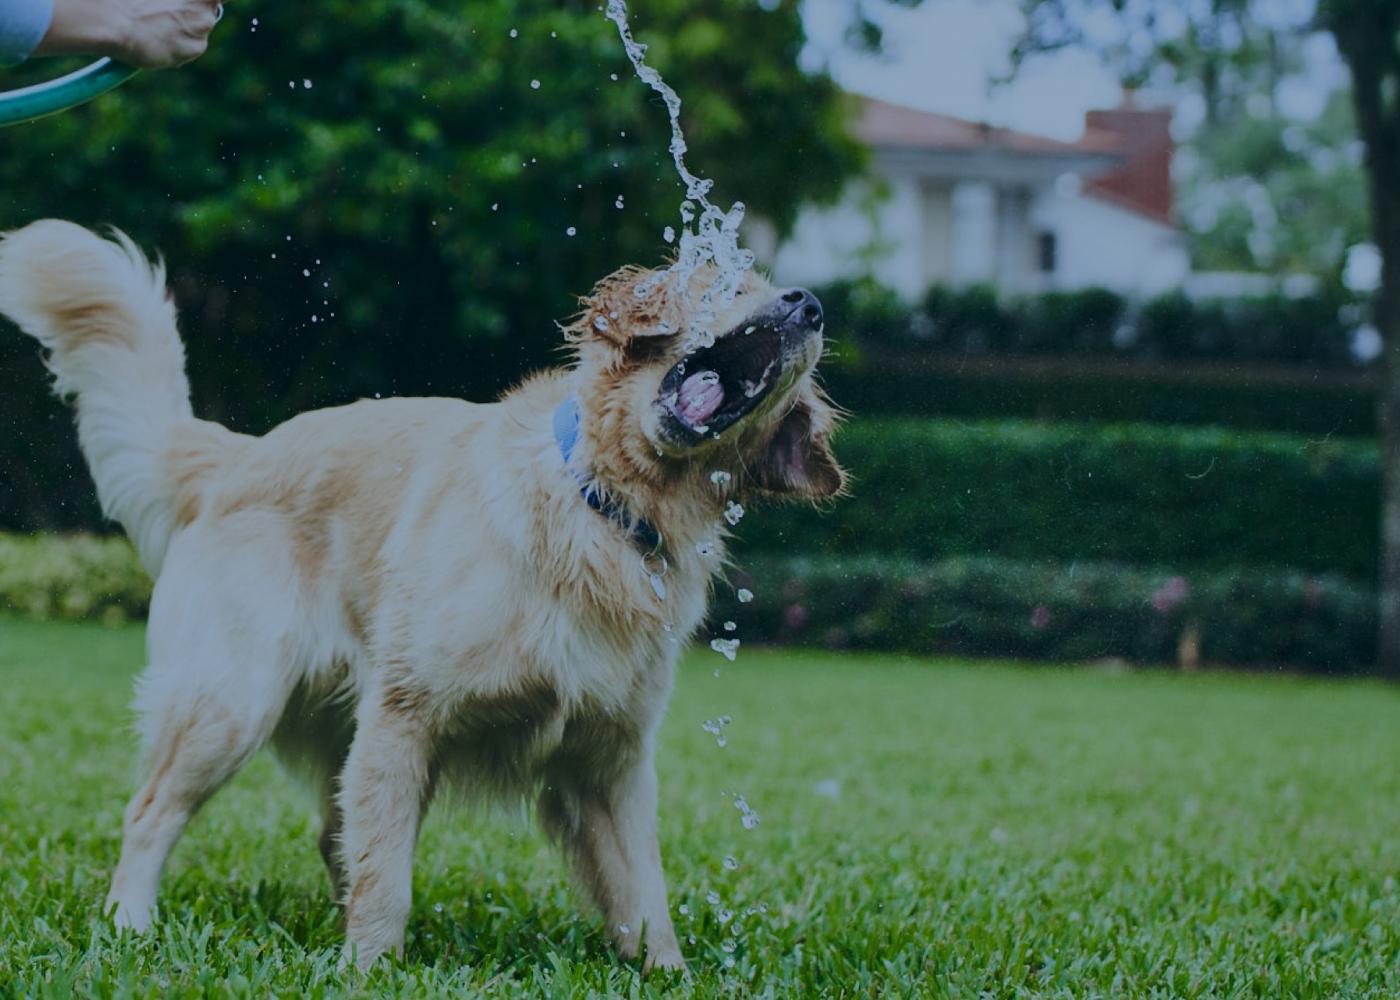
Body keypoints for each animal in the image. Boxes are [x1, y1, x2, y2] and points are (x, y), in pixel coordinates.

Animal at [0, 219, 840, 963]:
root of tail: (236, 454)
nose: (810, 305)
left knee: (332, 834)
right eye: (732, 283)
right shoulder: (404, 719)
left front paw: (665, 972)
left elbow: (644, 893)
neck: (606, 510)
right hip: (231, 704)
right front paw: (368, 969)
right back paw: (130, 923)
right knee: (153, 813)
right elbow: (388, 880)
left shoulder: (611, 758)